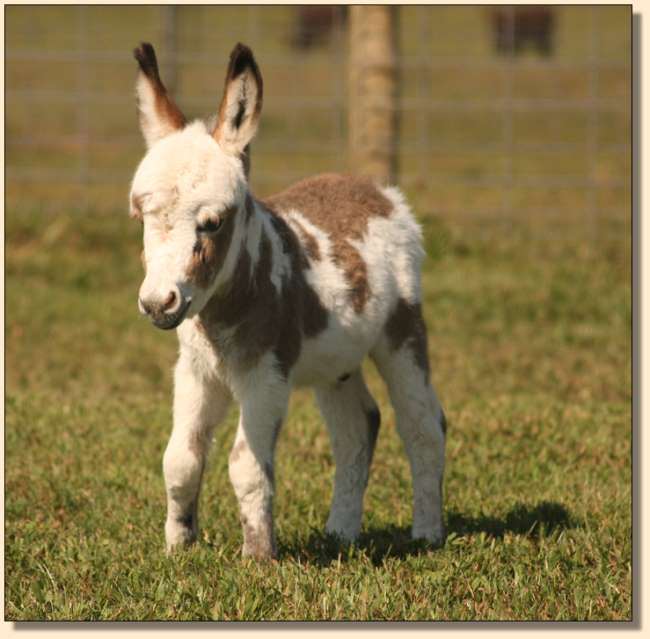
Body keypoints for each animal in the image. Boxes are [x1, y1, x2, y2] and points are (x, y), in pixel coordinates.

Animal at [130, 42, 448, 556]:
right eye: (141, 215)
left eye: (212, 222)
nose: (159, 304)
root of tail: (374, 190)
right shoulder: (196, 371)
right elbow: (180, 459)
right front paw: (179, 547)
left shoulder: (267, 374)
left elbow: (245, 464)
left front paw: (258, 556)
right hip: (337, 363)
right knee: (358, 426)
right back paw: (341, 533)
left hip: (402, 334)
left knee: (423, 425)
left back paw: (427, 534)